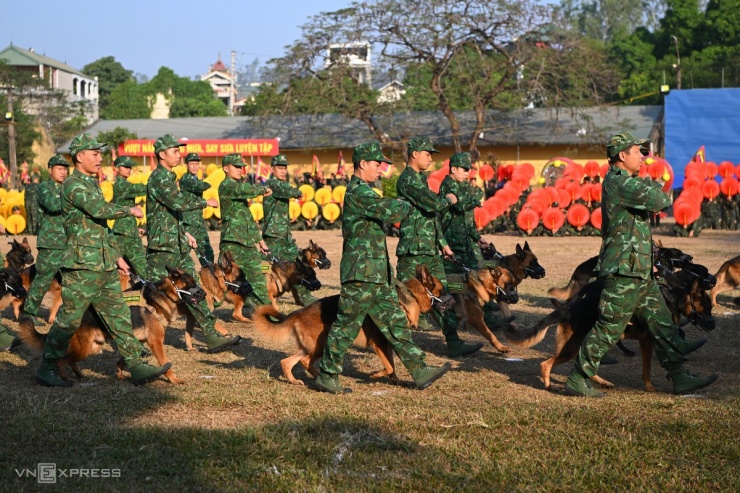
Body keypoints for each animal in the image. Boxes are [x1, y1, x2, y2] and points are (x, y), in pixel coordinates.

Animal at [17, 266, 215, 384]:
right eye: (191, 284)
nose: (204, 294)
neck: (163, 294)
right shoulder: (155, 342)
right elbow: (166, 363)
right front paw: (174, 379)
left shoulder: (136, 340)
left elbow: (124, 358)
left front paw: (120, 374)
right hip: (84, 348)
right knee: (61, 361)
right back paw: (66, 379)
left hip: (91, 348)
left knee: (70, 360)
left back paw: (79, 374)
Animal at [253, 264, 450, 386]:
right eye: (443, 290)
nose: (453, 301)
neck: (412, 296)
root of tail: (298, 313)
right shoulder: (378, 343)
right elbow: (389, 365)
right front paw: (375, 375)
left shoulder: (387, 343)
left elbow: (392, 365)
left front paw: (395, 381)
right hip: (321, 345)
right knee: (304, 361)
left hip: (312, 346)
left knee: (290, 361)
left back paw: (304, 380)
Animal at [500, 264, 712, 394]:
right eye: (708, 307)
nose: (713, 324)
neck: (671, 297)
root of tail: (568, 309)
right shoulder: (649, 341)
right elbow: (651, 366)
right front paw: (652, 387)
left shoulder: (649, 341)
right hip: (572, 348)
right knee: (547, 364)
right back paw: (550, 385)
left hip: (581, 345)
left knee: (580, 365)